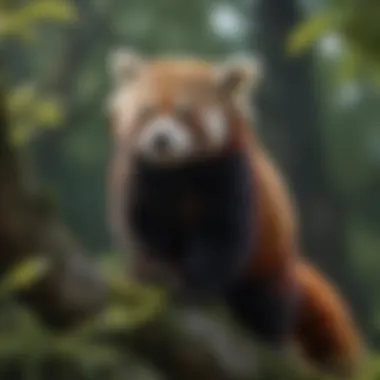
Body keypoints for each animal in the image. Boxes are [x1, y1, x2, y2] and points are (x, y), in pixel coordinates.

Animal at [105, 49, 364, 378]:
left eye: (185, 114)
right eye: (146, 112)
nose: (160, 139)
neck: (179, 171)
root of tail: (293, 262)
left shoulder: (232, 178)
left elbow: (223, 238)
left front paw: (193, 285)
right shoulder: (141, 178)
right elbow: (143, 230)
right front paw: (155, 272)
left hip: (269, 265)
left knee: (267, 303)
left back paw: (266, 337)